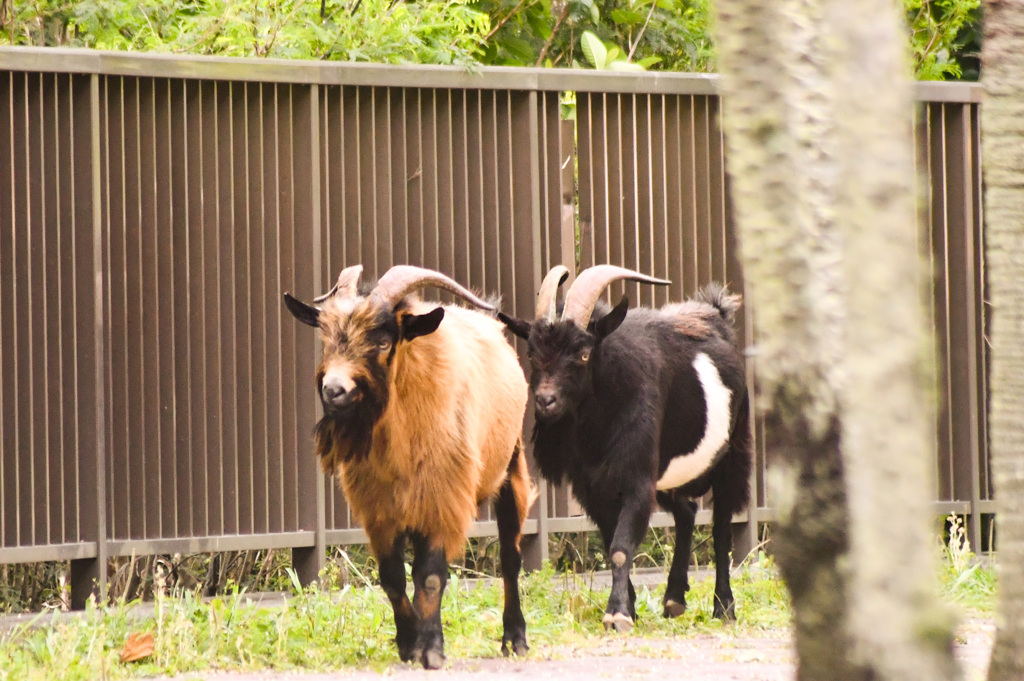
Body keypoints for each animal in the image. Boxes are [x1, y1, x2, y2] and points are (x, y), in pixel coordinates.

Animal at [284, 266, 532, 667]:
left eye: (384, 342)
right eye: (326, 337)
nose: (333, 390)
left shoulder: (443, 499)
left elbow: (430, 576)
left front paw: (430, 649)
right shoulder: (379, 510)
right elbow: (392, 578)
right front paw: (407, 642)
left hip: (511, 469)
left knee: (511, 558)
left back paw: (515, 639)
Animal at [501, 262, 753, 630]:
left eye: (584, 353)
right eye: (532, 353)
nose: (546, 401)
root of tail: (715, 316)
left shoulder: (636, 479)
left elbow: (621, 546)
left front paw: (618, 613)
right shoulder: (594, 488)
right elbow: (611, 543)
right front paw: (629, 607)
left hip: (732, 457)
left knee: (721, 527)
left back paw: (724, 608)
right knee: (687, 512)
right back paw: (674, 600)